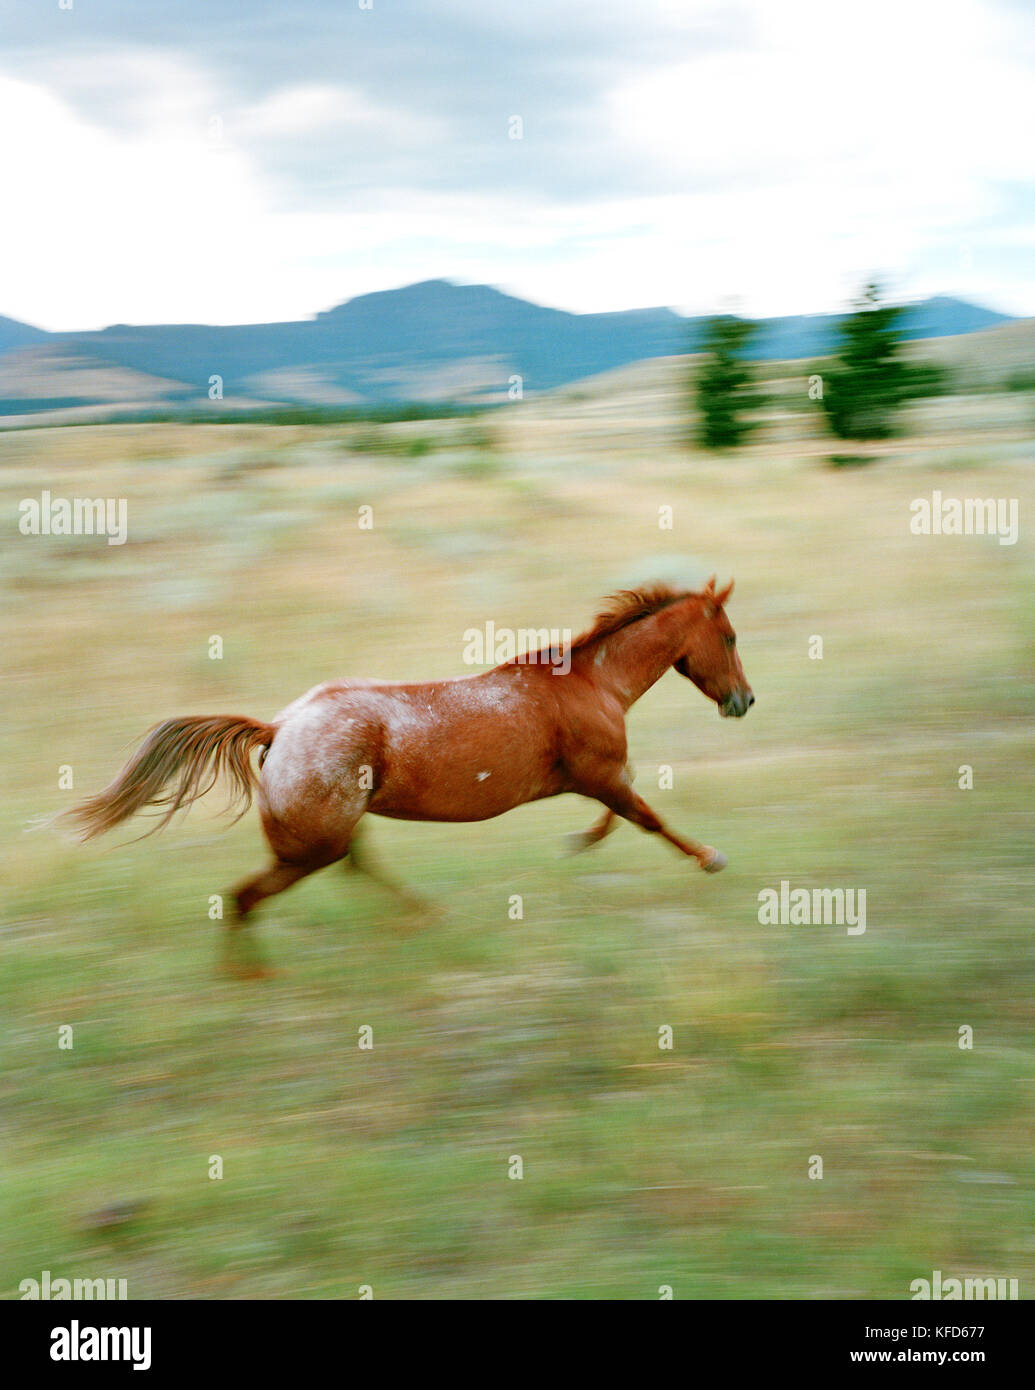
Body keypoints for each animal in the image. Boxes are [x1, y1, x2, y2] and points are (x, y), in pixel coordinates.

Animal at [68, 569, 755, 973]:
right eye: (729, 637)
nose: (743, 701)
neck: (592, 683)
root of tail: (278, 728)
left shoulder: (594, 777)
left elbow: (619, 816)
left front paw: (577, 841)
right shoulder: (601, 773)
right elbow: (647, 818)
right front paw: (711, 858)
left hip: (334, 829)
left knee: (352, 867)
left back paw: (423, 916)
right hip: (310, 846)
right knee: (246, 896)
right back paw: (252, 977)